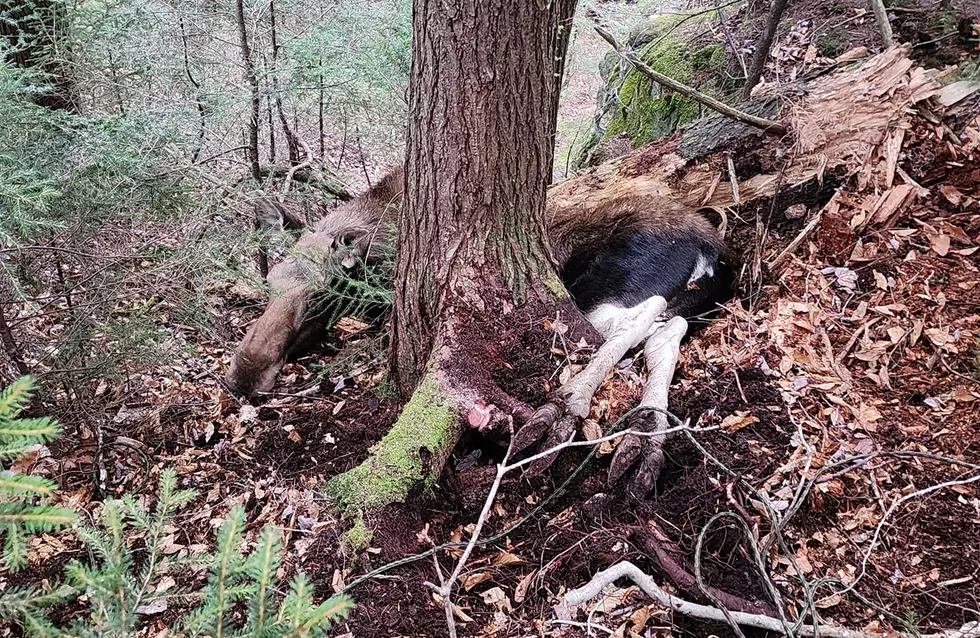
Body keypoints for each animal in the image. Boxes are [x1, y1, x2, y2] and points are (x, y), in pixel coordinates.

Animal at [225, 168, 733, 495]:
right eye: (270, 281)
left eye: (322, 296)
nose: (243, 376)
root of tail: (716, 253)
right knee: (667, 332)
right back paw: (645, 441)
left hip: (600, 289)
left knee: (639, 323)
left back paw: (562, 411)